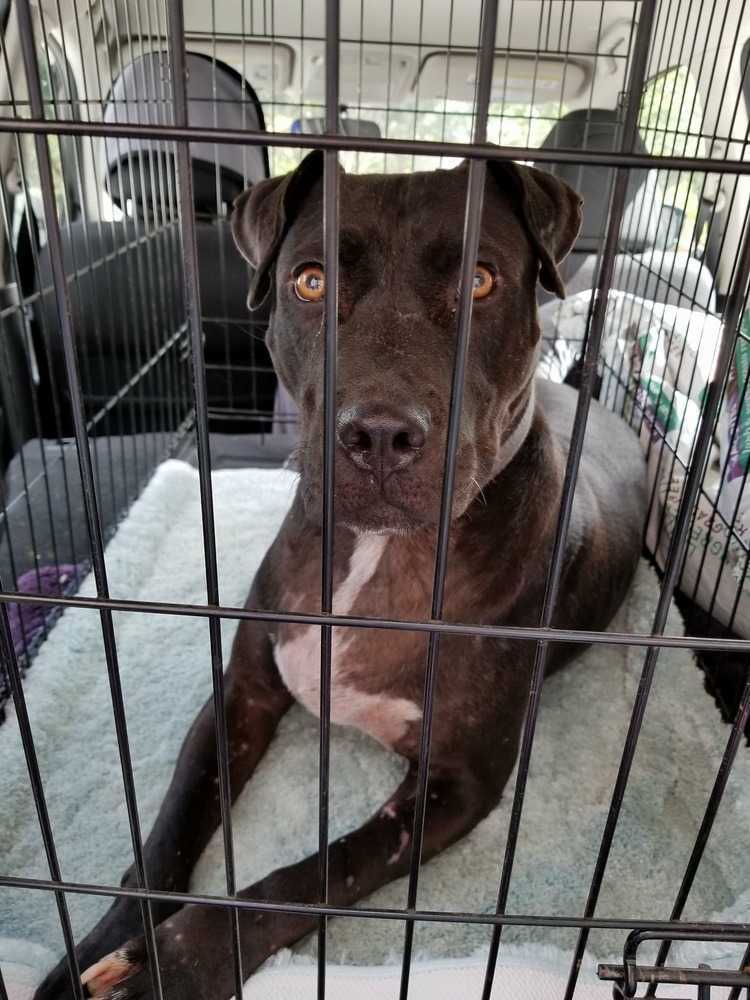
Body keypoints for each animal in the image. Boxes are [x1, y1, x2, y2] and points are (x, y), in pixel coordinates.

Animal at [33, 148, 648, 1000]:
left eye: (481, 280)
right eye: (311, 281)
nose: (380, 434)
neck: (380, 556)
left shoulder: (458, 782)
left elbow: (316, 874)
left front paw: (176, 964)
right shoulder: (243, 695)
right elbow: (169, 828)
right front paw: (96, 945)